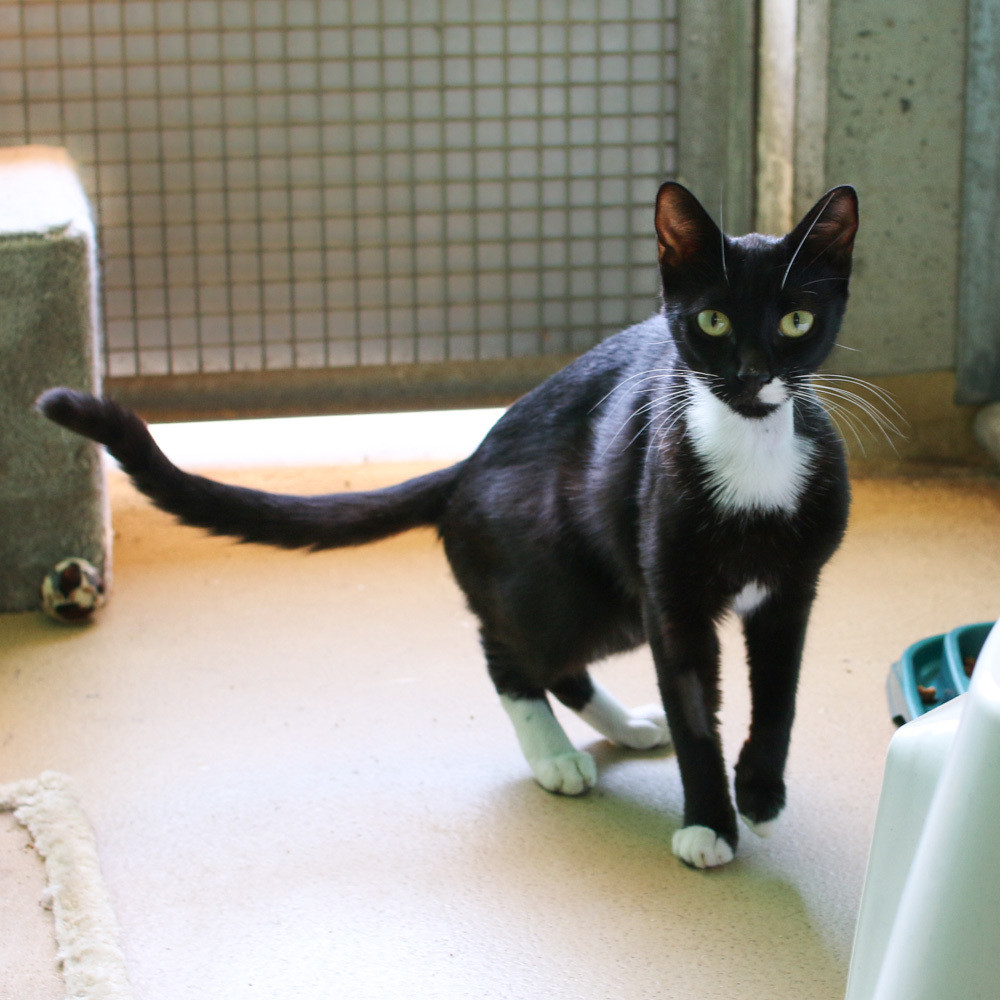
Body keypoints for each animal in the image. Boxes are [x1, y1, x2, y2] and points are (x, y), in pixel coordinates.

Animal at [38, 180, 858, 869]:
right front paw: (709, 824)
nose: (752, 374)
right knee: (512, 654)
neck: (753, 456)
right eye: (712, 320)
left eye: (796, 320)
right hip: (572, 586)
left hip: (621, 601)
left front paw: (759, 794)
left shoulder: (792, 591)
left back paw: (627, 726)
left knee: (559, 664)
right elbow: (694, 710)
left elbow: (779, 697)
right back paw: (555, 757)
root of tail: (462, 466)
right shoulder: (675, 601)